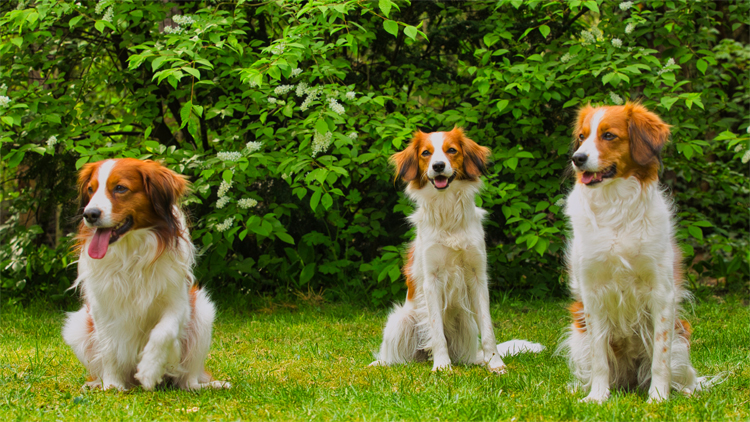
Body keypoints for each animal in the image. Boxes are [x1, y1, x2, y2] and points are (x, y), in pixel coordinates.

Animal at [62, 159, 229, 392]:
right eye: (90, 189)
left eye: (120, 188)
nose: (90, 214)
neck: (131, 252)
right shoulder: (101, 307)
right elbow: (108, 347)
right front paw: (112, 385)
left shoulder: (178, 303)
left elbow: (162, 333)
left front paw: (149, 371)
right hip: (76, 325)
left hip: (203, 313)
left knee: (187, 380)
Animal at [372, 129, 544, 372]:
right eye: (426, 153)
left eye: (451, 150)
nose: (438, 166)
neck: (447, 214)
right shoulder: (431, 279)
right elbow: (437, 333)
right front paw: (442, 366)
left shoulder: (478, 276)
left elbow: (488, 330)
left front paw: (496, 364)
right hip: (401, 320)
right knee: (395, 357)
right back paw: (382, 363)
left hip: (466, 323)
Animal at [560, 102, 712, 402]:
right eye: (582, 136)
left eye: (608, 135)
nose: (577, 158)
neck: (615, 207)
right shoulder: (593, 295)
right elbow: (599, 358)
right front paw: (597, 397)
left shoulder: (662, 293)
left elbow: (660, 360)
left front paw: (659, 398)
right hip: (578, 334)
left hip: (680, 337)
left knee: (682, 374)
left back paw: (686, 391)